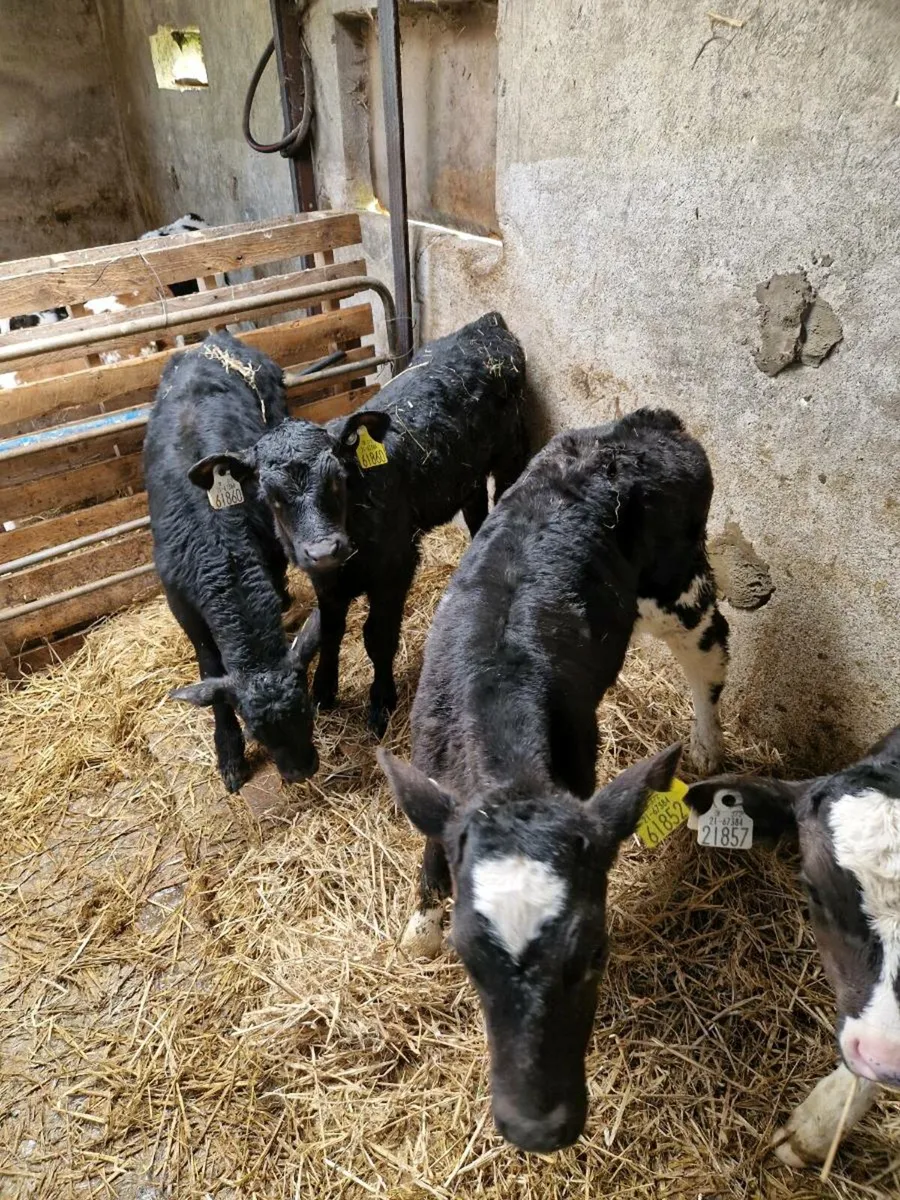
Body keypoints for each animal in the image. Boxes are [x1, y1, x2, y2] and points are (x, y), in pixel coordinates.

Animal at [377, 409, 730, 1152]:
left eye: (594, 949)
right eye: (467, 957)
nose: (535, 1128)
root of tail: (645, 421)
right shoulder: (432, 766)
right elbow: (432, 838)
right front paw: (420, 927)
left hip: (679, 584)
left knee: (708, 658)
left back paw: (709, 747)